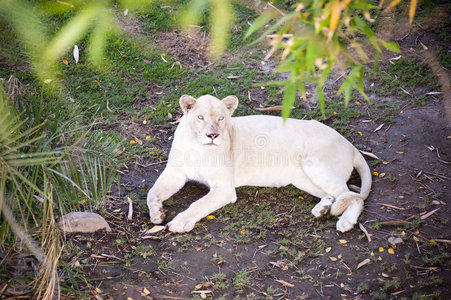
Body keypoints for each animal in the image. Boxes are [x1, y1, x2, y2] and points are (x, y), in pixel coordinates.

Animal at [147, 95, 372, 233]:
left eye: (221, 118)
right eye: (200, 117)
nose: (212, 135)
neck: (198, 147)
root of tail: (350, 144)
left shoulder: (224, 188)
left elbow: (199, 204)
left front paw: (180, 222)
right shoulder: (175, 172)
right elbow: (152, 191)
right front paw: (157, 214)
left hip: (315, 164)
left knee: (353, 197)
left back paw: (345, 222)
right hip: (302, 178)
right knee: (337, 194)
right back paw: (322, 208)